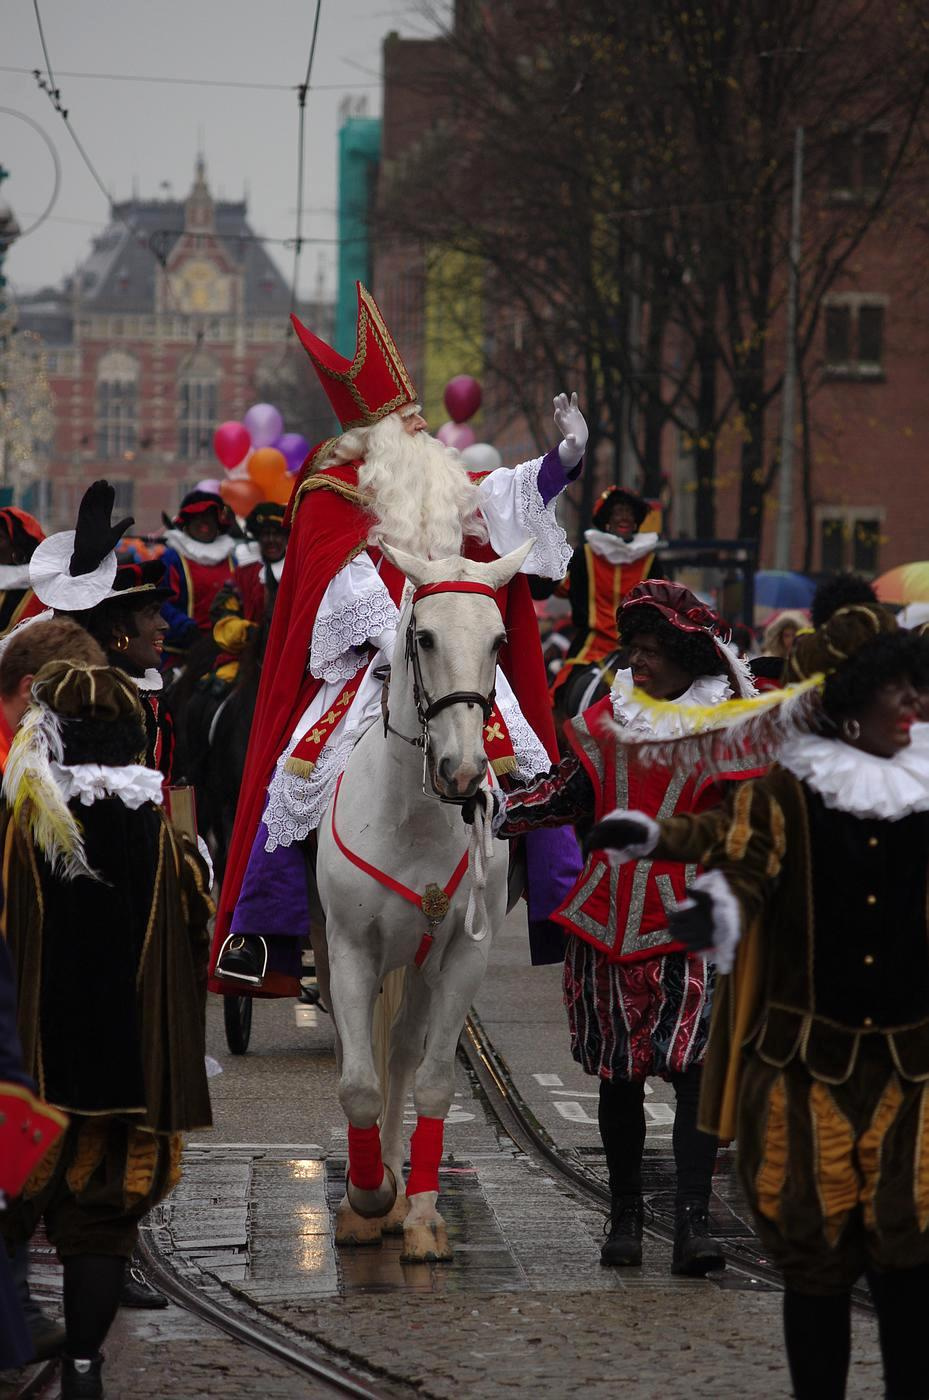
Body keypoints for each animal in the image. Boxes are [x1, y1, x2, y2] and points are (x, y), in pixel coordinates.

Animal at [313, 534, 526, 1260]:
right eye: (425, 637)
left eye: (498, 640)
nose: (461, 771)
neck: (413, 819)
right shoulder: (350, 950)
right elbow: (356, 1083)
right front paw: (365, 1198)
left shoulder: (460, 956)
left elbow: (431, 1082)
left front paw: (423, 1215)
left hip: (421, 961)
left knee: (403, 1051)